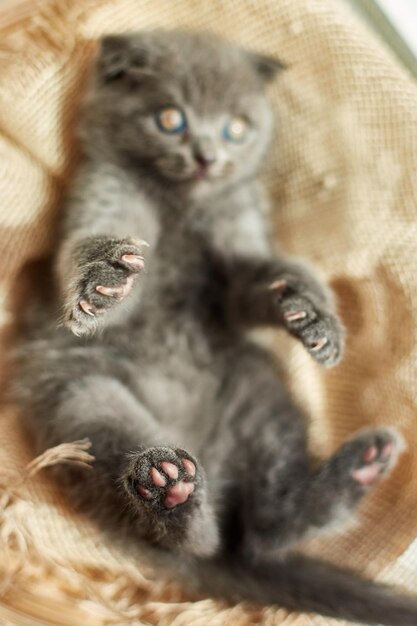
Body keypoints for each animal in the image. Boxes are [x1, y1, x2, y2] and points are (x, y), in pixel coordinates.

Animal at [14, 31, 416, 620]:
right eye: (170, 119)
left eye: (237, 128)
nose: (207, 158)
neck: (183, 207)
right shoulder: (102, 197)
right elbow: (84, 252)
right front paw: (104, 278)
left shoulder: (238, 253)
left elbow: (263, 280)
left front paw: (313, 316)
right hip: (84, 401)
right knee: (188, 534)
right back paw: (169, 486)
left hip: (259, 392)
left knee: (267, 530)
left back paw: (356, 468)